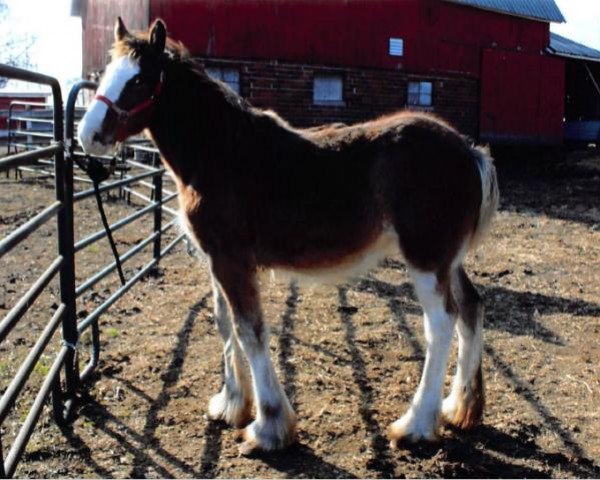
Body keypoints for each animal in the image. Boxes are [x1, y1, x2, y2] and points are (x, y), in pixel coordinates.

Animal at [77, 17, 500, 454]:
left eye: (139, 79)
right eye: (107, 73)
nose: (87, 135)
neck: (221, 151)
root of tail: (470, 152)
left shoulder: (232, 260)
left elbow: (250, 331)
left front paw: (268, 427)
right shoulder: (217, 260)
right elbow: (224, 324)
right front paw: (231, 404)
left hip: (425, 258)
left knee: (442, 322)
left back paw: (416, 423)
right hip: (448, 260)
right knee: (471, 307)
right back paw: (459, 408)